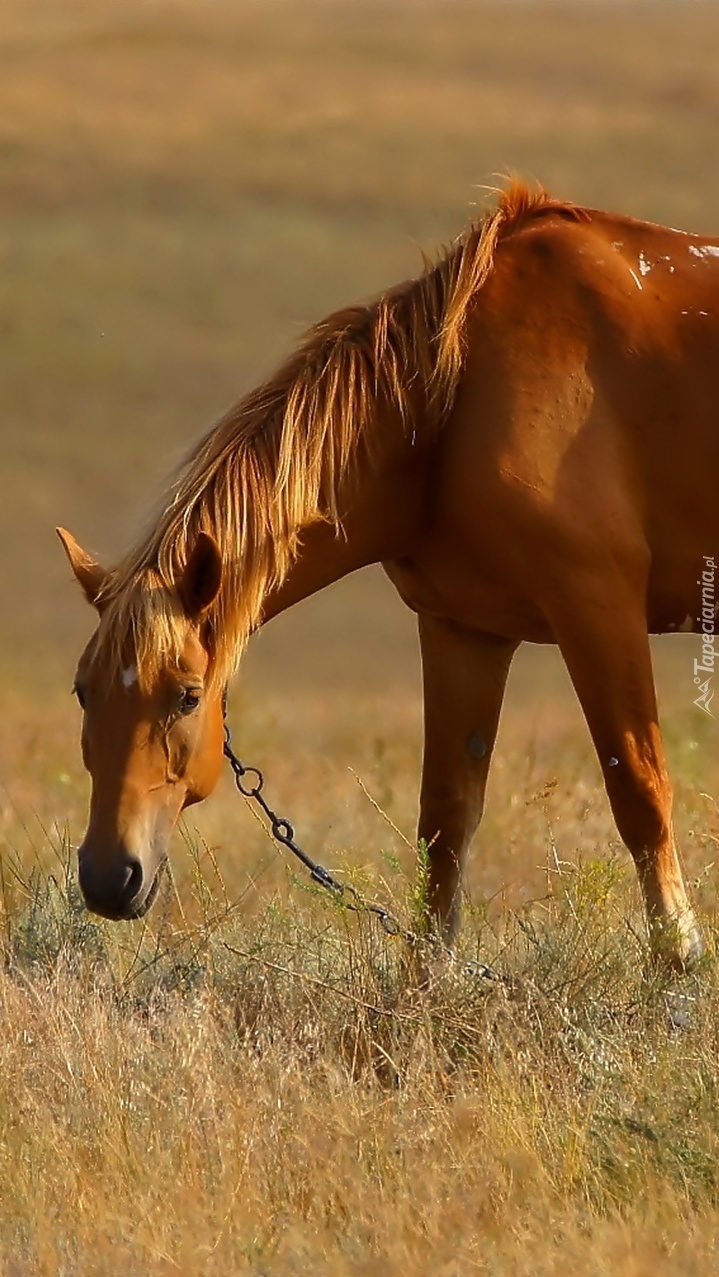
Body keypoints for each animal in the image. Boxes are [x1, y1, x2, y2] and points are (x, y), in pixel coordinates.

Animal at [59, 182, 719, 965]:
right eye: (83, 691)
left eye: (189, 696)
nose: (109, 878)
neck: (455, 399)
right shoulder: (464, 629)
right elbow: (445, 824)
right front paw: (424, 981)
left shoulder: (597, 608)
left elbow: (640, 793)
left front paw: (679, 963)